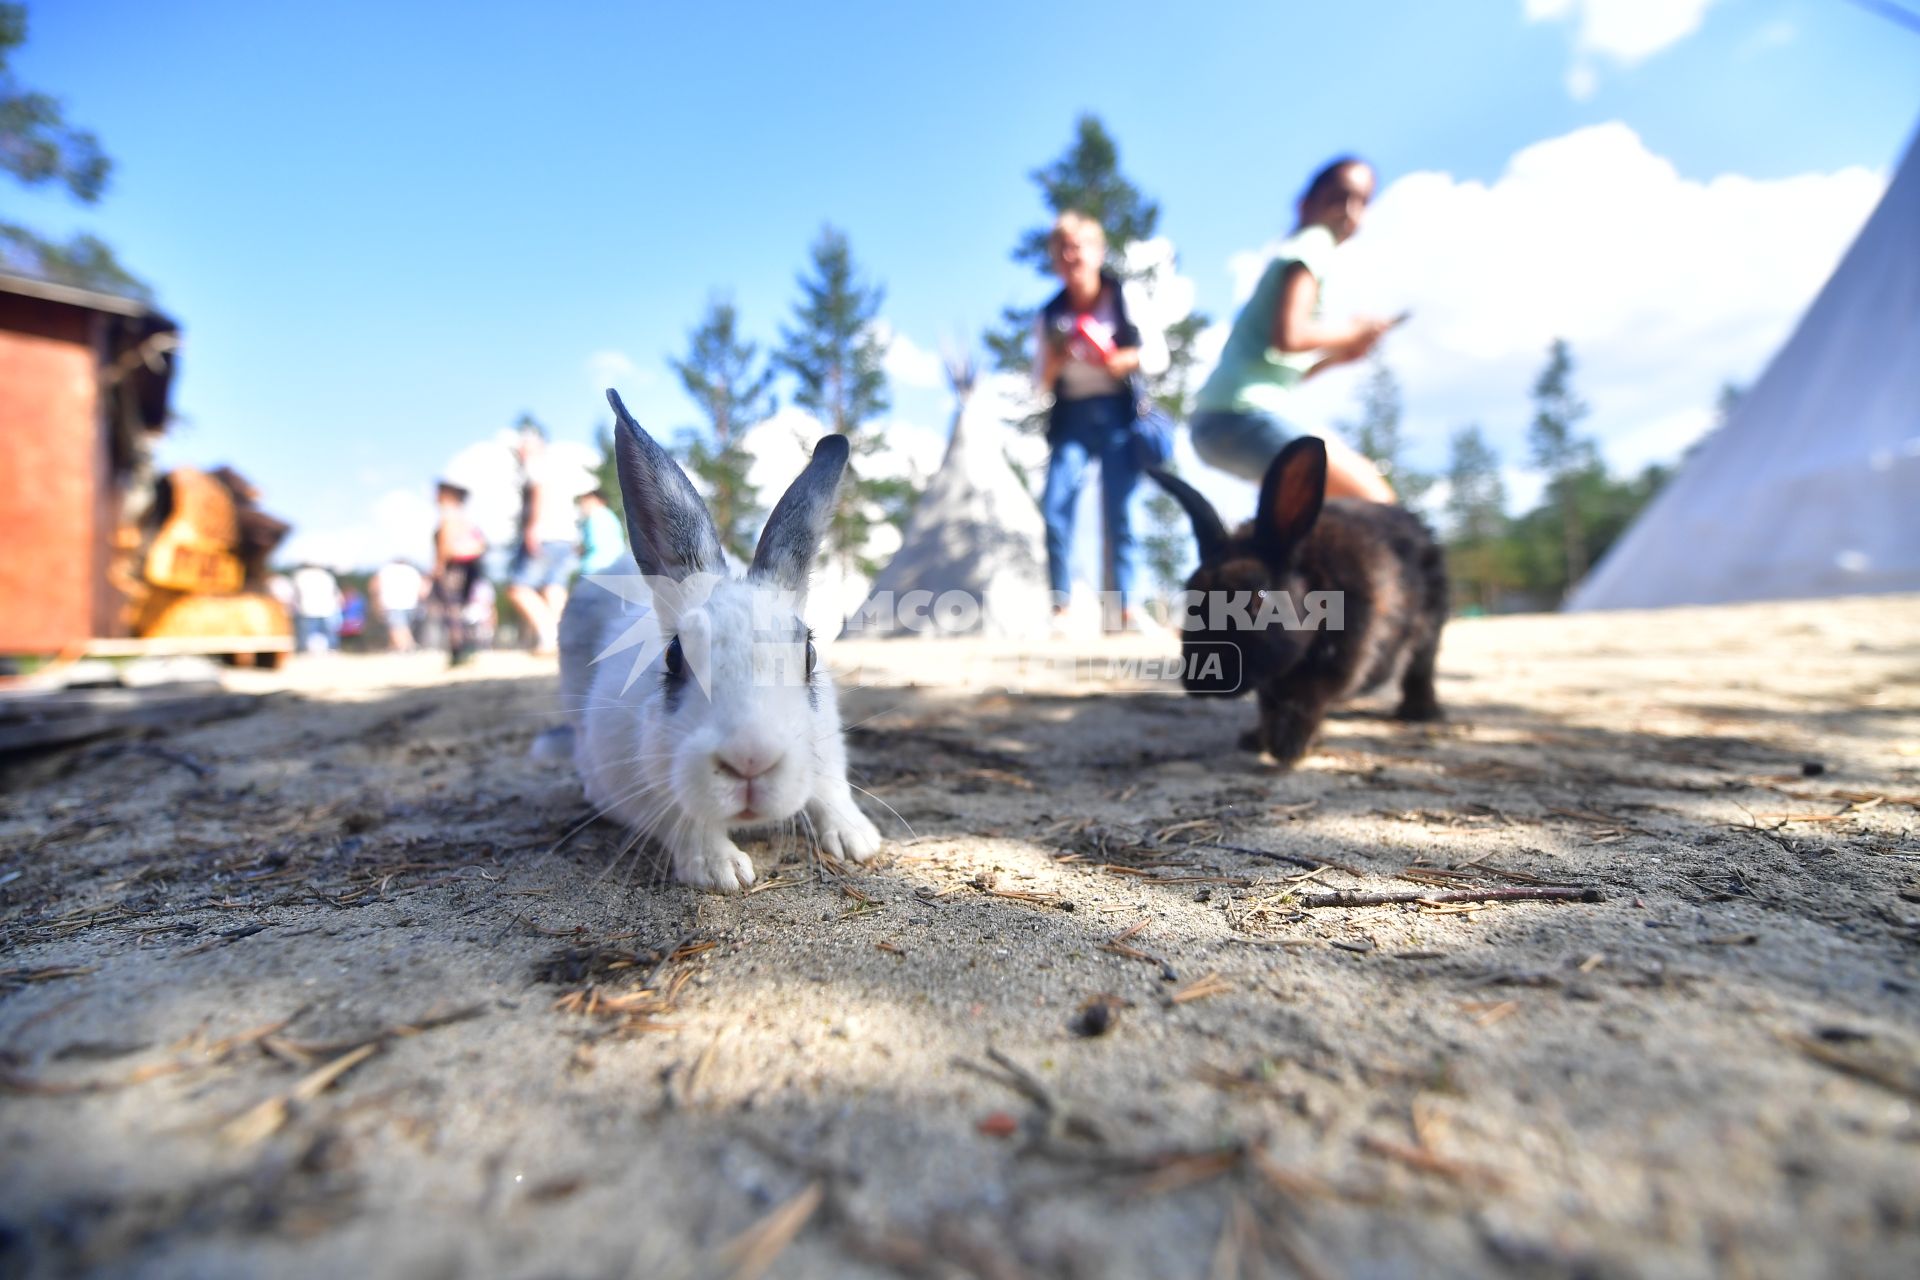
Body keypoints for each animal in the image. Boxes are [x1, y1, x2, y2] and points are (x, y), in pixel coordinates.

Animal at [552, 387, 887, 890]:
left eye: (809, 655)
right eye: (673, 657)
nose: (750, 760)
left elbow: (829, 788)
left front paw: (857, 840)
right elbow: (682, 818)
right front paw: (720, 868)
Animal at [1152, 435, 1443, 767]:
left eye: (1258, 598)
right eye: (1190, 596)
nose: (1199, 684)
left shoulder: (1335, 668)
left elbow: (1304, 702)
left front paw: (1288, 748)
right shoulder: (1272, 680)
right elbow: (1270, 706)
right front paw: (1261, 739)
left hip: (1429, 628)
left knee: (1421, 667)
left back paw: (1420, 712)